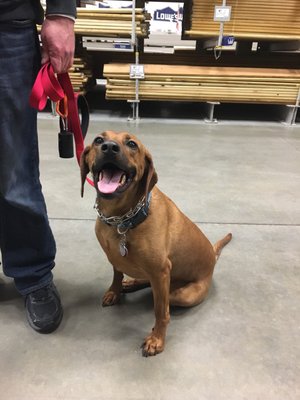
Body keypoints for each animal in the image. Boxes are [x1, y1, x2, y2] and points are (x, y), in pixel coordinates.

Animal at [80, 130, 232, 356]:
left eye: (132, 144)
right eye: (99, 140)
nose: (109, 147)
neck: (123, 220)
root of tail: (213, 258)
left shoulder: (160, 271)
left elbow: (161, 312)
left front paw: (157, 339)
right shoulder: (116, 258)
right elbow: (117, 275)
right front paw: (115, 290)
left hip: (181, 294)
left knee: (163, 297)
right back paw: (131, 283)